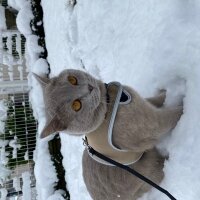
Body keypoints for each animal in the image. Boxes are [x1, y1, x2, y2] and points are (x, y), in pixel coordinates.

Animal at [34, 69, 183, 200]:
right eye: (76, 105)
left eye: (72, 79)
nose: (89, 88)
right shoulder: (150, 123)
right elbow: (170, 116)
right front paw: (185, 103)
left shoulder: (143, 103)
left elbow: (157, 99)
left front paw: (167, 91)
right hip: (150, 168)